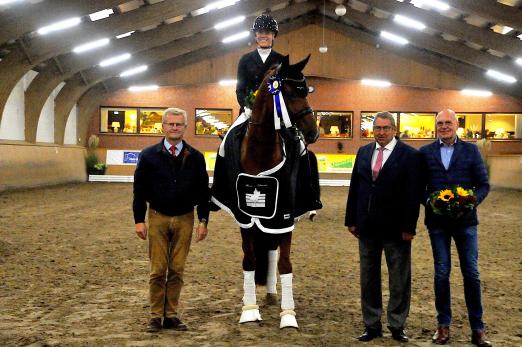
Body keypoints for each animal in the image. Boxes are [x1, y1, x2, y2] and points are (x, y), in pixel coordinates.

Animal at [209, 54, 318, 328]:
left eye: (306, 91)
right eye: (289, 92)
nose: (313, 132)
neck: (261, 149)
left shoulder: (284, 215)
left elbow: (285, 264)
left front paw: (288, 314)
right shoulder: (245, 217)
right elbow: (248, 260)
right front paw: (249, 310)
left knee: (271, 249)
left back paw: (271, 293)